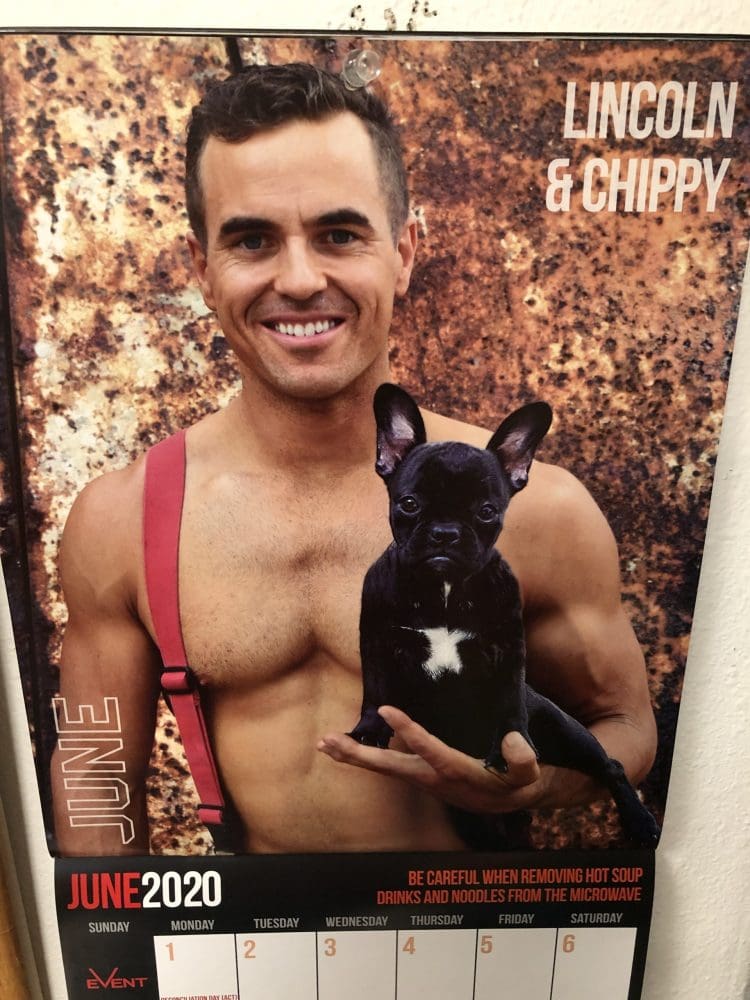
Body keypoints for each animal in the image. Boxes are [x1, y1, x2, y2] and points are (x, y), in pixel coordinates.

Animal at [349, 383, 660, 848]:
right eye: (409, 503)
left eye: (486, 511)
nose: (445, 533)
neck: (444, 589)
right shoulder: (378, 640)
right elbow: (376, 689)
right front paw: (369, 729)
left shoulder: (508, 651)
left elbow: (509, 706)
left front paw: (511, 749)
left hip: (567, 730)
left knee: (612, 767)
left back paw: (640, 822)